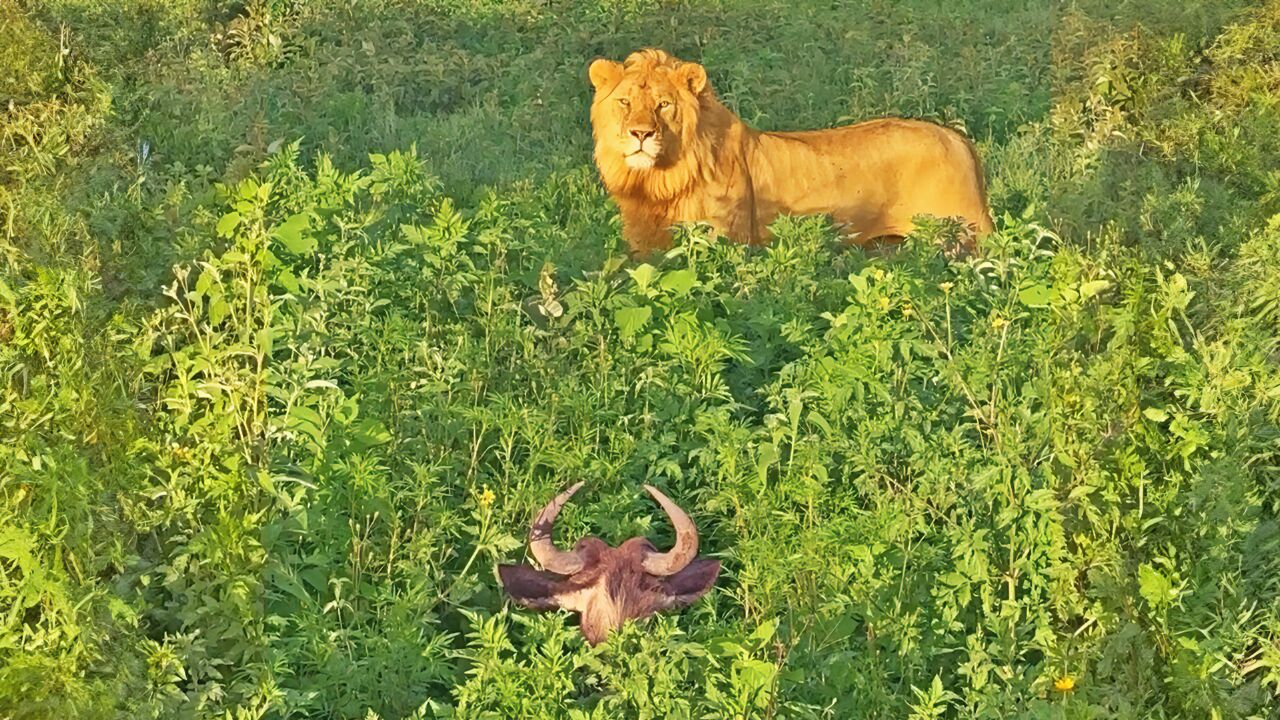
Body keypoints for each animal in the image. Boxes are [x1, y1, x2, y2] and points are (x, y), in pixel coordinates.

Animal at [586, 48, 993, 254]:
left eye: (663, 105)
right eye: (624, 102)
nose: (641, 133)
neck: (658, 179)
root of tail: (958, 139)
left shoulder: (724, 243)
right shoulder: (646, 247)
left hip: (961, 239)